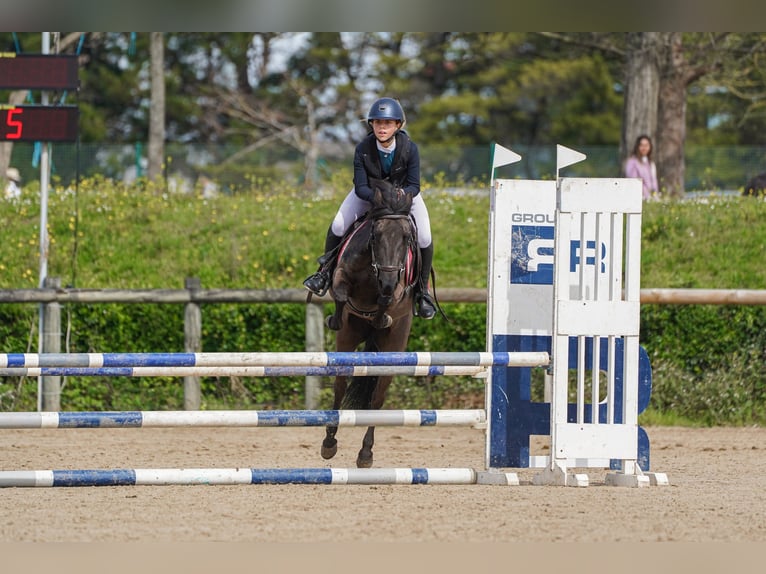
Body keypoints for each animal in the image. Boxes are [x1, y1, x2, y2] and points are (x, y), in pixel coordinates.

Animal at [322, 179, 424, 468]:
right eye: (375, 236)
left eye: (407, 238)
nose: (387, 281)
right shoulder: (341, 275)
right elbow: (341, 293)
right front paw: (335, 318)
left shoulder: (398, 291)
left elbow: (386, 302)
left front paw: (382, 314)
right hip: (347, 341)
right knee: (340, 387)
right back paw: (329, 443)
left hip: (394, 349)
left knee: (377, 398)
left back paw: (365, 453)